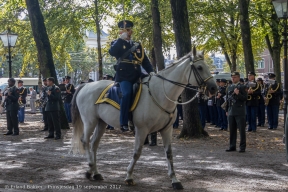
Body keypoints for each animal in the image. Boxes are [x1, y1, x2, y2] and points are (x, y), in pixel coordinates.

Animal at [71, 47, 217, 189]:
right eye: (199, 67)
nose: (214, 88)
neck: (160, 93)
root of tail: (85, 85)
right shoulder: (142, 130)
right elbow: (137, 152)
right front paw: (129, 176)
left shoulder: (167, 129)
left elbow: (169, 153)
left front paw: (175, 180)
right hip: (90, 121)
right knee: (85, 141)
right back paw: (90, 168)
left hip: (101, 122)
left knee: (94, 144)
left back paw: (96, 173)